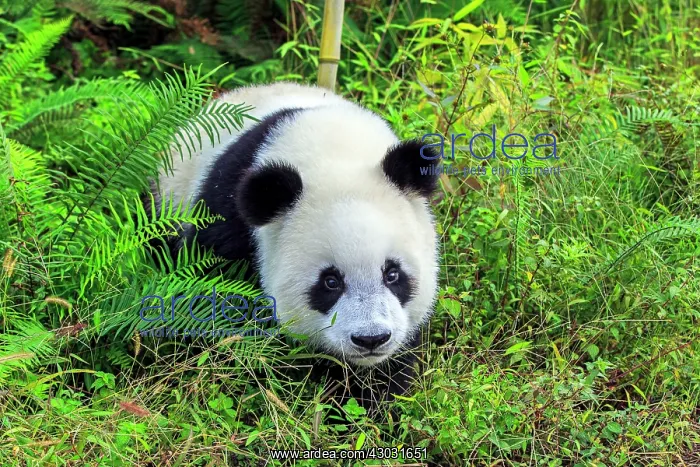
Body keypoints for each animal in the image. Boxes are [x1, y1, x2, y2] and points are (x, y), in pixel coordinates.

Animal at [149, 82, 440, 411]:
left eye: (392, 274)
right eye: (330, 282)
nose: (371, 339)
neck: (335, 152)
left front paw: (366, 400)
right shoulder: (228, 225)